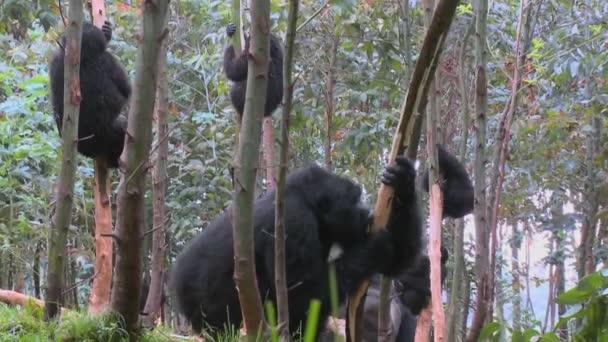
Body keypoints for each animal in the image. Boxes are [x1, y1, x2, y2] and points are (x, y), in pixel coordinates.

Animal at [169, 156, 420, 338]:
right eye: (355, 199)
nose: (366, 210)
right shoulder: (293, 220)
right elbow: (301, 294)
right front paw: (374, 246)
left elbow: (396, 259)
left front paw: (404, 181)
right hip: (209, 313)